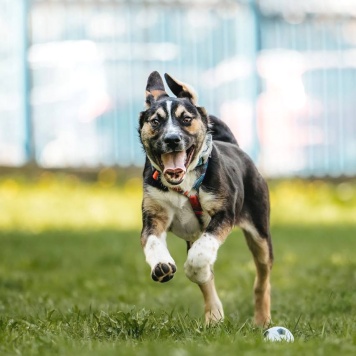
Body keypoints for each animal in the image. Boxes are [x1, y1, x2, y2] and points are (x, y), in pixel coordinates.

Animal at [138, 71, 272, 326]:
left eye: (186, 119)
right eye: (156, 121)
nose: (172, 139)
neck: (184, 184)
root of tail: (232, 145)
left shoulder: (224, 213)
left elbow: (202, 252)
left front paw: (195, 269)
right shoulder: (154, 215)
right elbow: (151, 241)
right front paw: (162, 265)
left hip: (260, 233)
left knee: (262, 278)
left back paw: (262, 319)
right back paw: (214, 315)